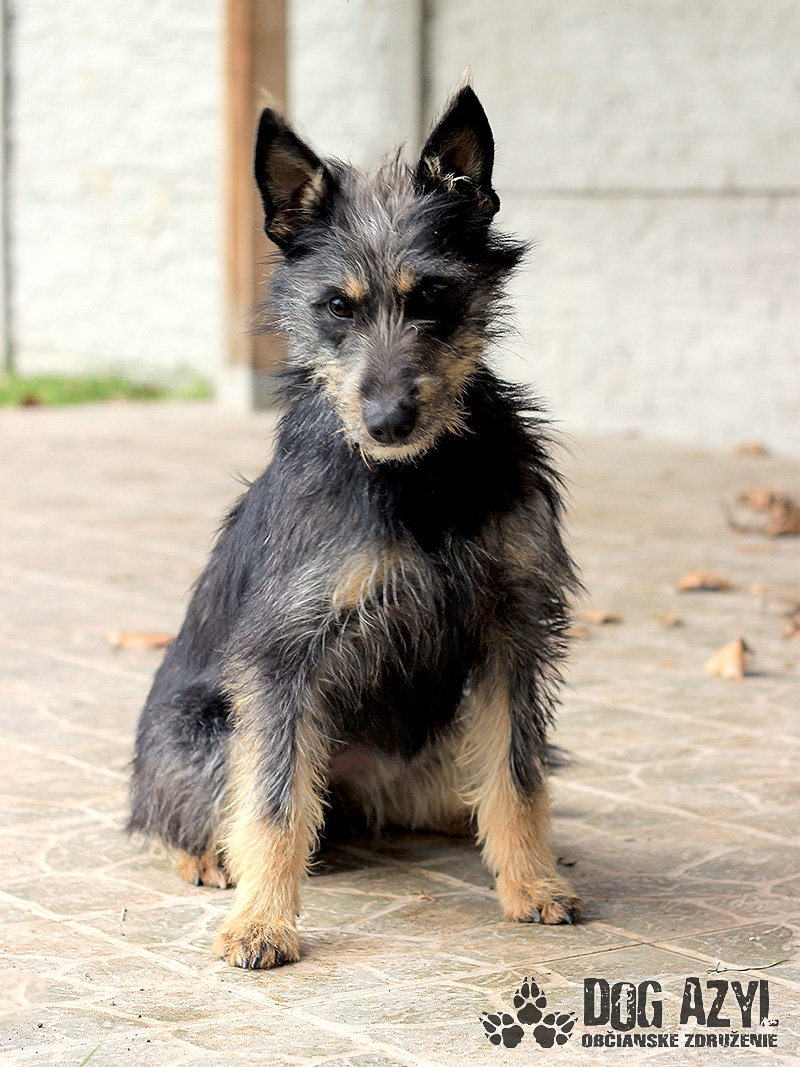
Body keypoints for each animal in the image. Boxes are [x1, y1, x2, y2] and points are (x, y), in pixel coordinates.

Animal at [128, 85, 583, 969]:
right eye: (337, 306)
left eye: (433, 294)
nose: (387, 420)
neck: (418, 480)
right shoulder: (284, 659)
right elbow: (272, 807)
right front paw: (262, 921)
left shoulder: (512, 632)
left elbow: (518, 778)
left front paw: (532, 881)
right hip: (206, 735)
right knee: (199, 810)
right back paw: (207, 856)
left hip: (439, 740)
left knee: (463, 788)